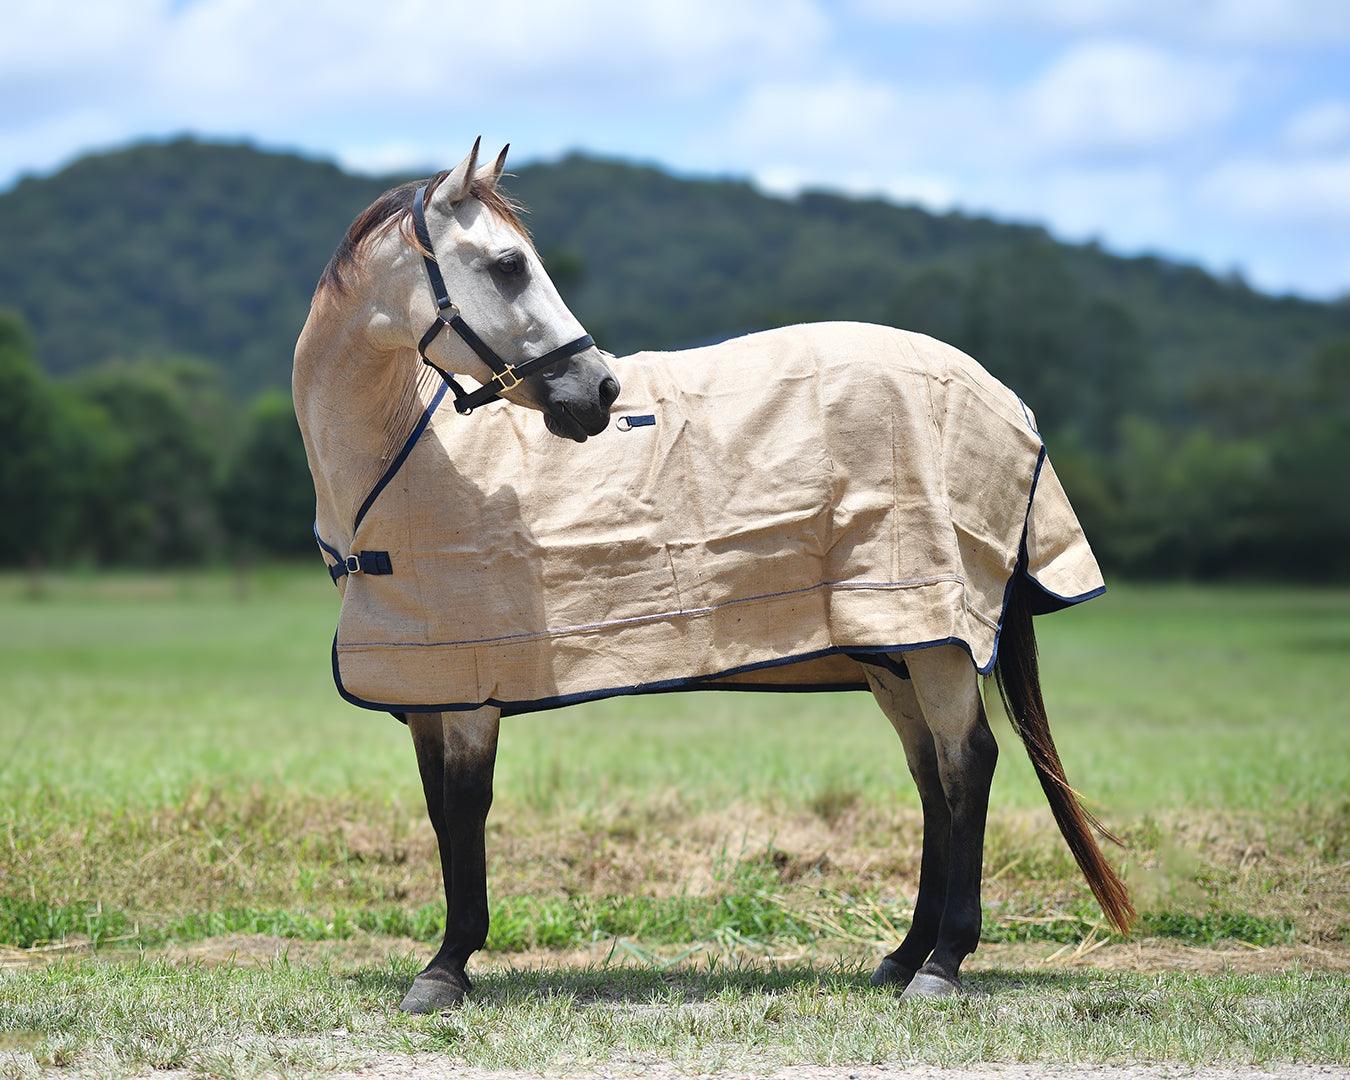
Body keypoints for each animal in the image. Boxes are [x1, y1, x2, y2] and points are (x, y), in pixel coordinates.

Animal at [294, 139, 1134, 1014]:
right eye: (508, 264)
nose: (600, 390)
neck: (406, 452)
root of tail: (1005, 398)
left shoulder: (468, 683)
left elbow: (465, 810)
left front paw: (446, 965)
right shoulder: (427, 687)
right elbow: (440, 811)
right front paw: (448, 959)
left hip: (934, 640)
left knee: (967, 764)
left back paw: (942, 964)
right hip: (893, 651)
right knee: (933, 774)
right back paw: (904, 956)